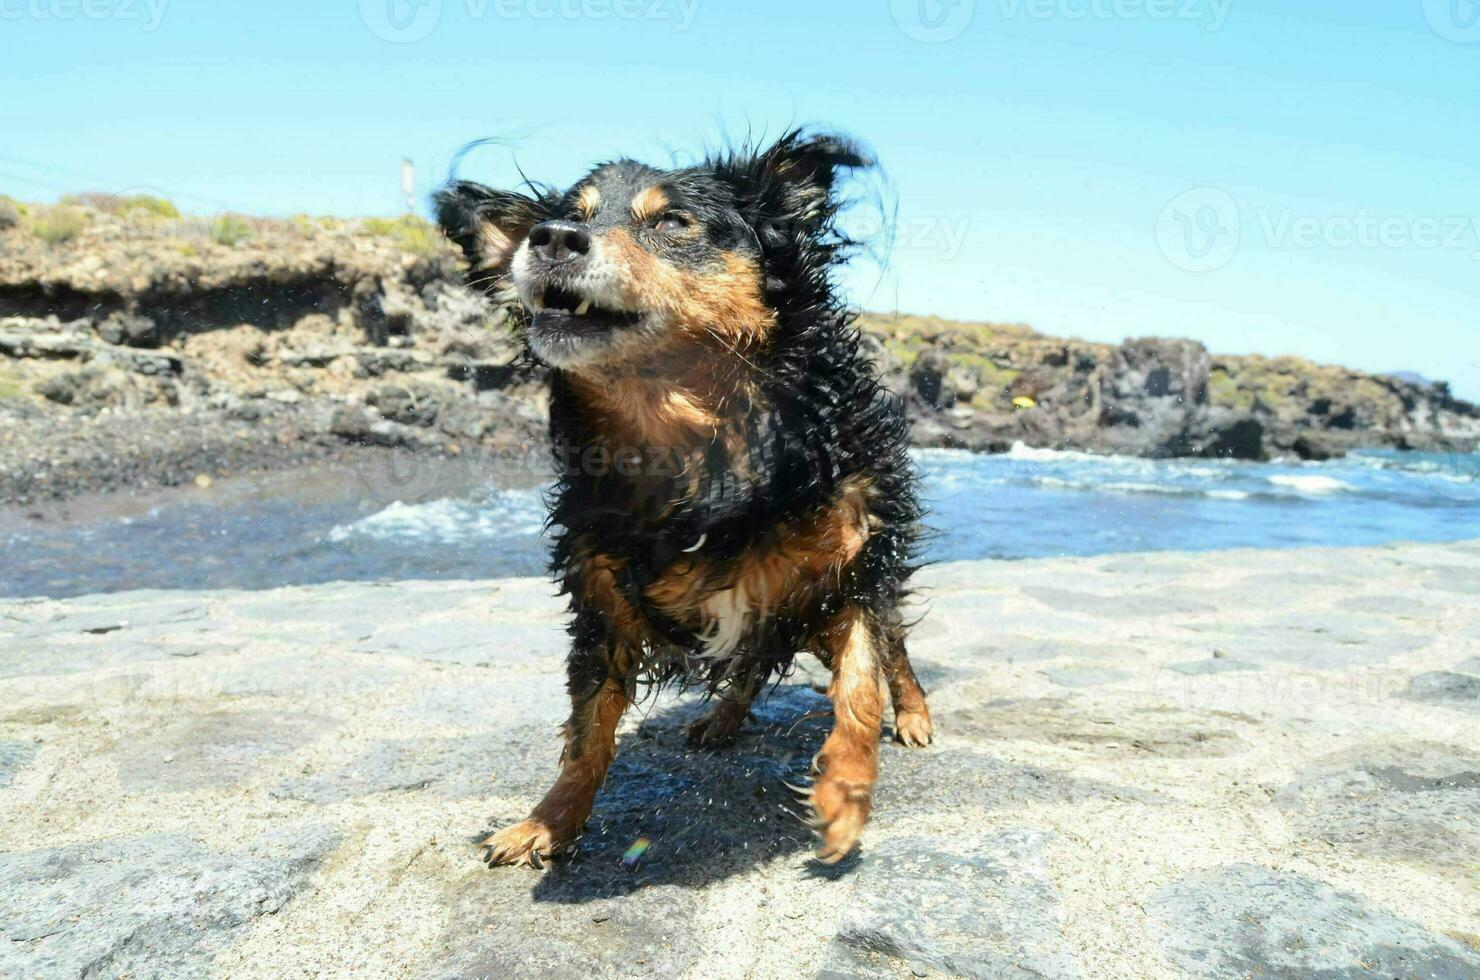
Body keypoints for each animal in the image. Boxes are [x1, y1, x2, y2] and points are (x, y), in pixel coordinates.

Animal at [432, 128, 929, 870]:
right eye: (573, 215)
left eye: (671, 222)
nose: (551, 239)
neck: (696, 445)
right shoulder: (602, 597)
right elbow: (587, 730)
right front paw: (548, 821)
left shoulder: (855, 562)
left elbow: (863, 680)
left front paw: (844, 794)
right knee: (748, 665)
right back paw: (721, 719)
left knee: (893, 650)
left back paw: (916, 714)